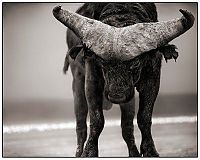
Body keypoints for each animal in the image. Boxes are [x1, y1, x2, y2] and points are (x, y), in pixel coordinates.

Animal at [52, 2, 195, 158]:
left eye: (136, 63)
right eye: (103, 63)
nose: (117, 96)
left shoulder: (152, 78)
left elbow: (144, 117)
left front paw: (150, 150)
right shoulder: (91, 81)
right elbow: (96, 119)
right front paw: (89, 152)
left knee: (127, 127)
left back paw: (134, 153)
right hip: (77, 83)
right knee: (81, 124)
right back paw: (79, 152)